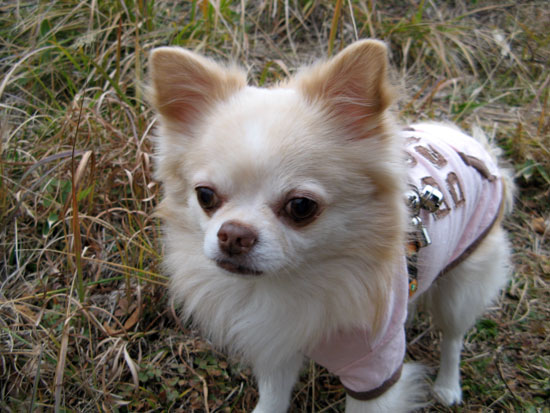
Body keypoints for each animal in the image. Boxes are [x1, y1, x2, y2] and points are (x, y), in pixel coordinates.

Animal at [148, 40, 514, 412]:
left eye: (301, 206)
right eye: (205, 196)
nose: (234, 234)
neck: (288, 283)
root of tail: (474, 147)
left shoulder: (375, 367)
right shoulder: (276, 347)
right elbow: (273, 397)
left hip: (463, 284)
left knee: (454, 336)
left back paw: (448, 385)